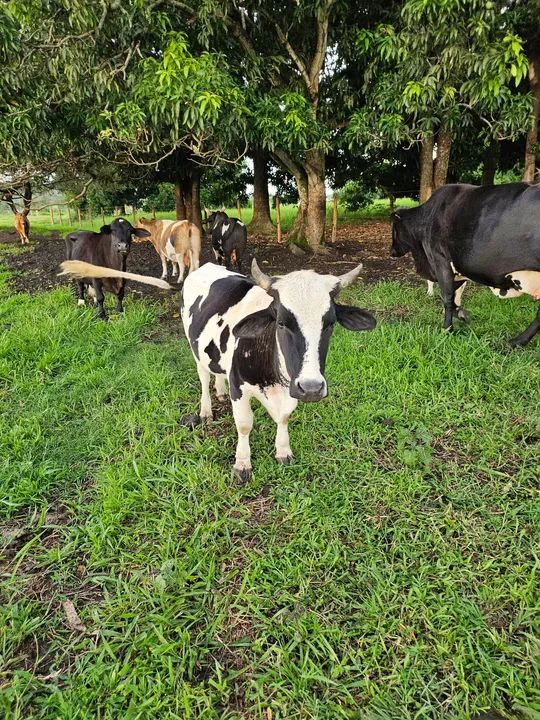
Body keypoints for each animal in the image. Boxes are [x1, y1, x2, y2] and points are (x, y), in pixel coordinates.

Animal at [181, 259, 376, 480]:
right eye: (281, 322)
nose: (311, 388)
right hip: (195, 350)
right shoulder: (238, 387)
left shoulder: (290, 386)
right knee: (204, 378)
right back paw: (206, 411)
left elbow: (284, 417)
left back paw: (221, 392)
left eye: (330, 323)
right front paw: (242, 463)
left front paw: (283, 451)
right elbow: (244, 424)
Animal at [391, 183, 540, 347]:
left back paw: (516, 341)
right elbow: (455, 296)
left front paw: (447, 328)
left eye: (394, 229)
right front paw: (460, 315)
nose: (391, 251)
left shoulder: (441, 261)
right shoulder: (459, 269)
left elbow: (447, 297)